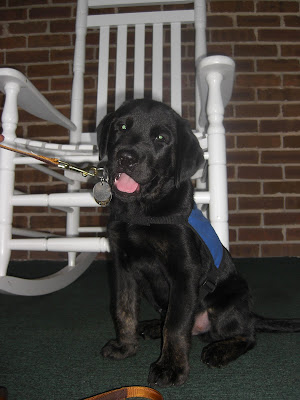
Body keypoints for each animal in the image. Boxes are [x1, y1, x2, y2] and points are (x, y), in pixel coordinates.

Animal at [97, 99, 298, 388]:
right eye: (121, 127)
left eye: (161, 138)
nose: (126, 158)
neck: (141, 212)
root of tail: (248, 313)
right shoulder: (123, 267)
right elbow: (123, 310)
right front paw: (125, 347)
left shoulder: (185, 271)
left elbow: (177, 324)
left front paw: (171, 368)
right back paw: (151, 326)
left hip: (228, 301)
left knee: (247, 335)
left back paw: (219, 350)